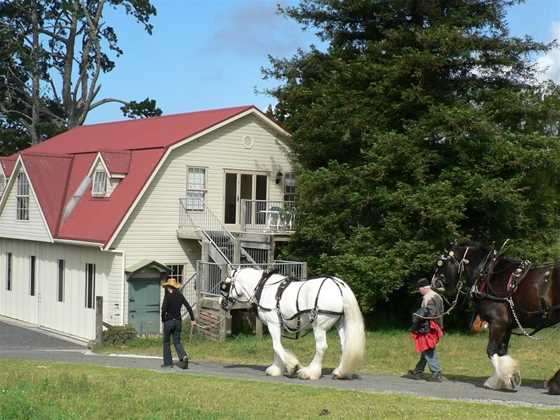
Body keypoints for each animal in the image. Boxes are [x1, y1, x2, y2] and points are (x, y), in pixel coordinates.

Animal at [219, 270, 368, 380]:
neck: (263, 288)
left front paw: (292, 366)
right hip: (340, 323)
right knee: (345, 345)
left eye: (225, 285)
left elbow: (276, 346)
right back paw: (340, 372)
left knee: (321, 347)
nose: (221, 303)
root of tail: (338, 284)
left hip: (319, 326)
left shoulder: (273, 324)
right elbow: (277, 346)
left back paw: (310, 372)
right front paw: (276, 369)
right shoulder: (278, 325)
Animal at [434, 244, 560, 392]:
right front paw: (509, 377)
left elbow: (491, 350)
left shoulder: (497, 323)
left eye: (441, 263)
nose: (434, 283)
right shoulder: (507, 326)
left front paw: (506, 379)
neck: (487, 274)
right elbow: (501, 351)